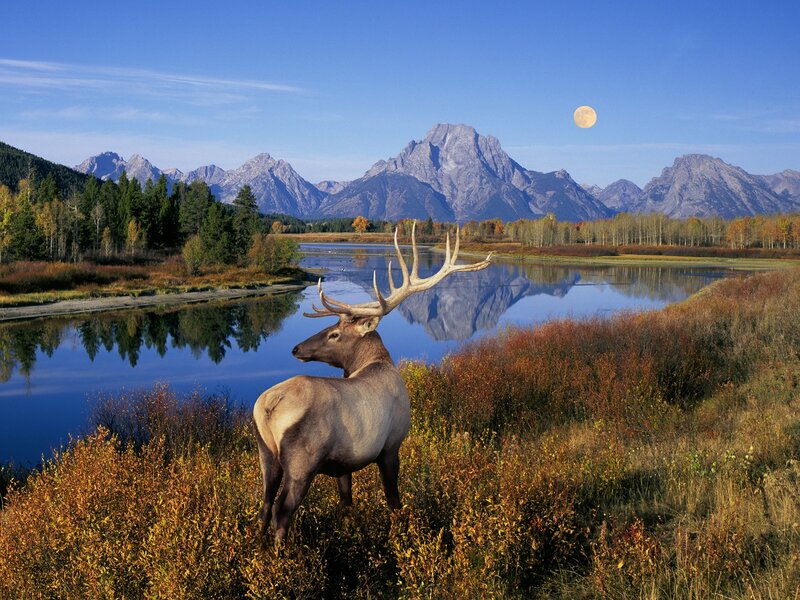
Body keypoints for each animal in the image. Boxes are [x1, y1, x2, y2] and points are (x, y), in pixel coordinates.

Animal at [252, 224, 491, 544]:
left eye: (334, 334)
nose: (296, 348)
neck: (377, 362)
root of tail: (268, 406)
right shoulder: (391, 446)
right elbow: (393, 501)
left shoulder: (343, 463)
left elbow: (346, 503)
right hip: (302, 462)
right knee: (282, 510)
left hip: (266, 453)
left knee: (265, 505)